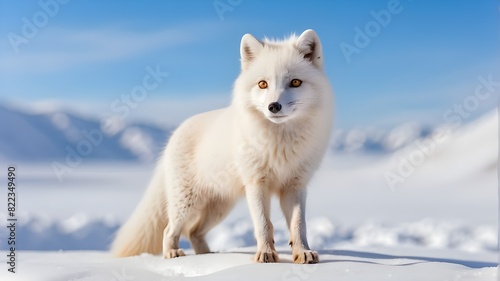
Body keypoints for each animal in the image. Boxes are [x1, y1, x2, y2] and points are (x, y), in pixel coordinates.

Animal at [111, 29, 334, 264]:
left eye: (296, 82)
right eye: (262, 84)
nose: (274, 106)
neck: (279, 141)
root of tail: (176, 132)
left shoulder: (295, 186)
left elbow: (298, 225)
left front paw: (303, 253)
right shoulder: (256, 184)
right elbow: (263, 224)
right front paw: (265, 254)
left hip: (219, 208)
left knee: (193, 232)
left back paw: (207, 255)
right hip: (187, 204)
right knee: (169, 230)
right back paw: (172, 253)